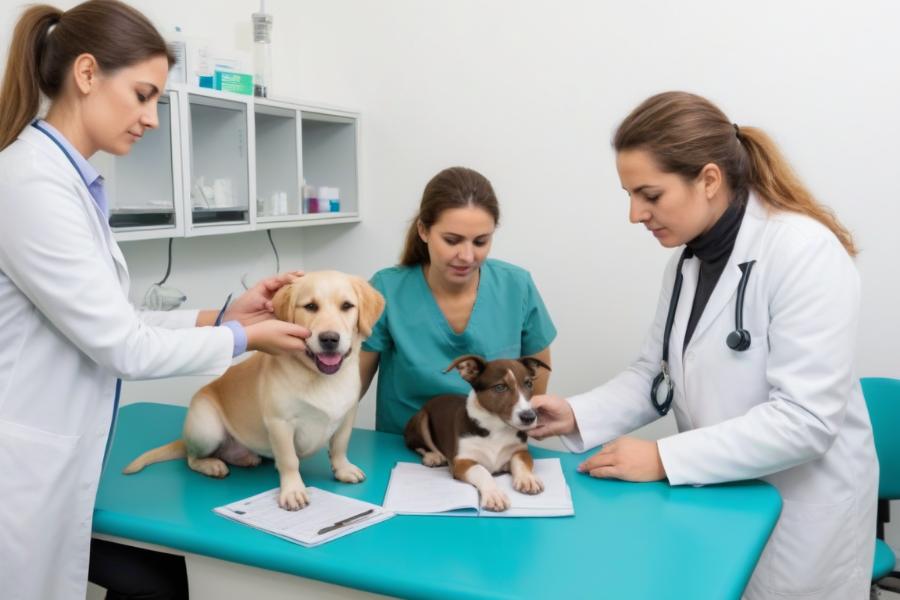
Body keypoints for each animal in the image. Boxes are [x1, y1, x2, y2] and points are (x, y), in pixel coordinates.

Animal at [122, 272, 384, 510]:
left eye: (347, 306)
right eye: (311, 306)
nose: (329, 339)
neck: (323, 378)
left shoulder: (347, 416)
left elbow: (339, 447)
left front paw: (343, 469)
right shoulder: (280, 423)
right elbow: (289, 460)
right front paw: (293, 490)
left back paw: (244, 457)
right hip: (208, 429)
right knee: (191, 458)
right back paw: (211, 465)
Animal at [406, 354, 548, 512]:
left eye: (528, 384)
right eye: (500, 387)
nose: (529, 417)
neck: (497, 428)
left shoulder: (520, 450)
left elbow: (522, 461)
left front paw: (527, 479)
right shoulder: (461, 461)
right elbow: (482, 471)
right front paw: (494, 494)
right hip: (422, 419)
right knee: (415, 443)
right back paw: (433, 456)